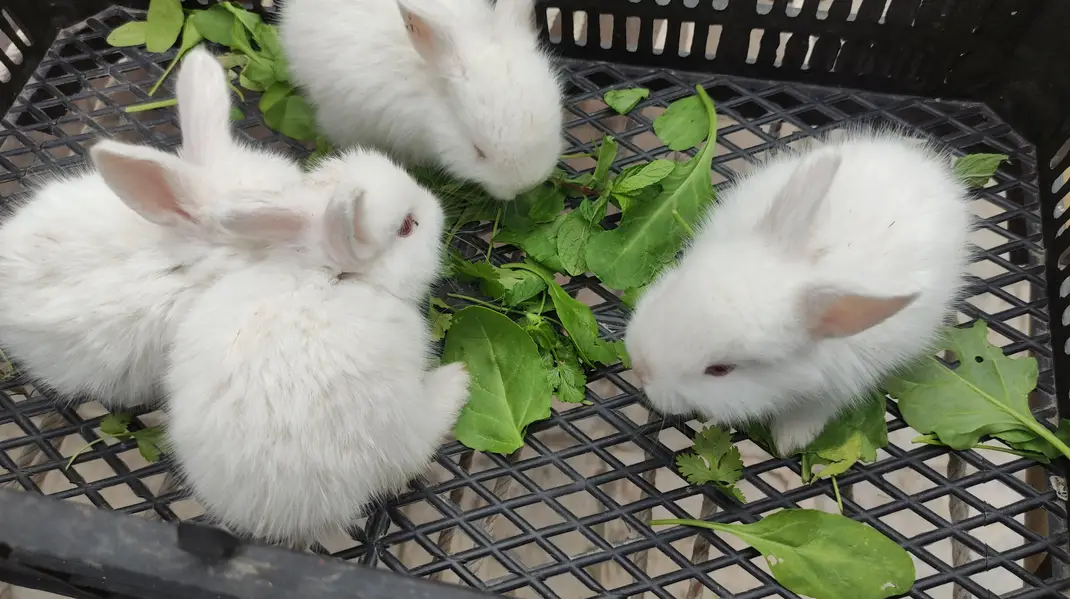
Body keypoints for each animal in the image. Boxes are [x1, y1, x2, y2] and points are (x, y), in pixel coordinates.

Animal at [166, 148, 471, 545]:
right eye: (407, 226)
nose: (436, 203)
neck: (332, 276)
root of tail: (273, 517)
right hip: (400, 421)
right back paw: (458, 380)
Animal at [624, 128, 973, 455]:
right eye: (677, 281)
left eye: (720, 370)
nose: (641, 370)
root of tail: (926, 167)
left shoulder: (832, 390)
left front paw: (789, 442)